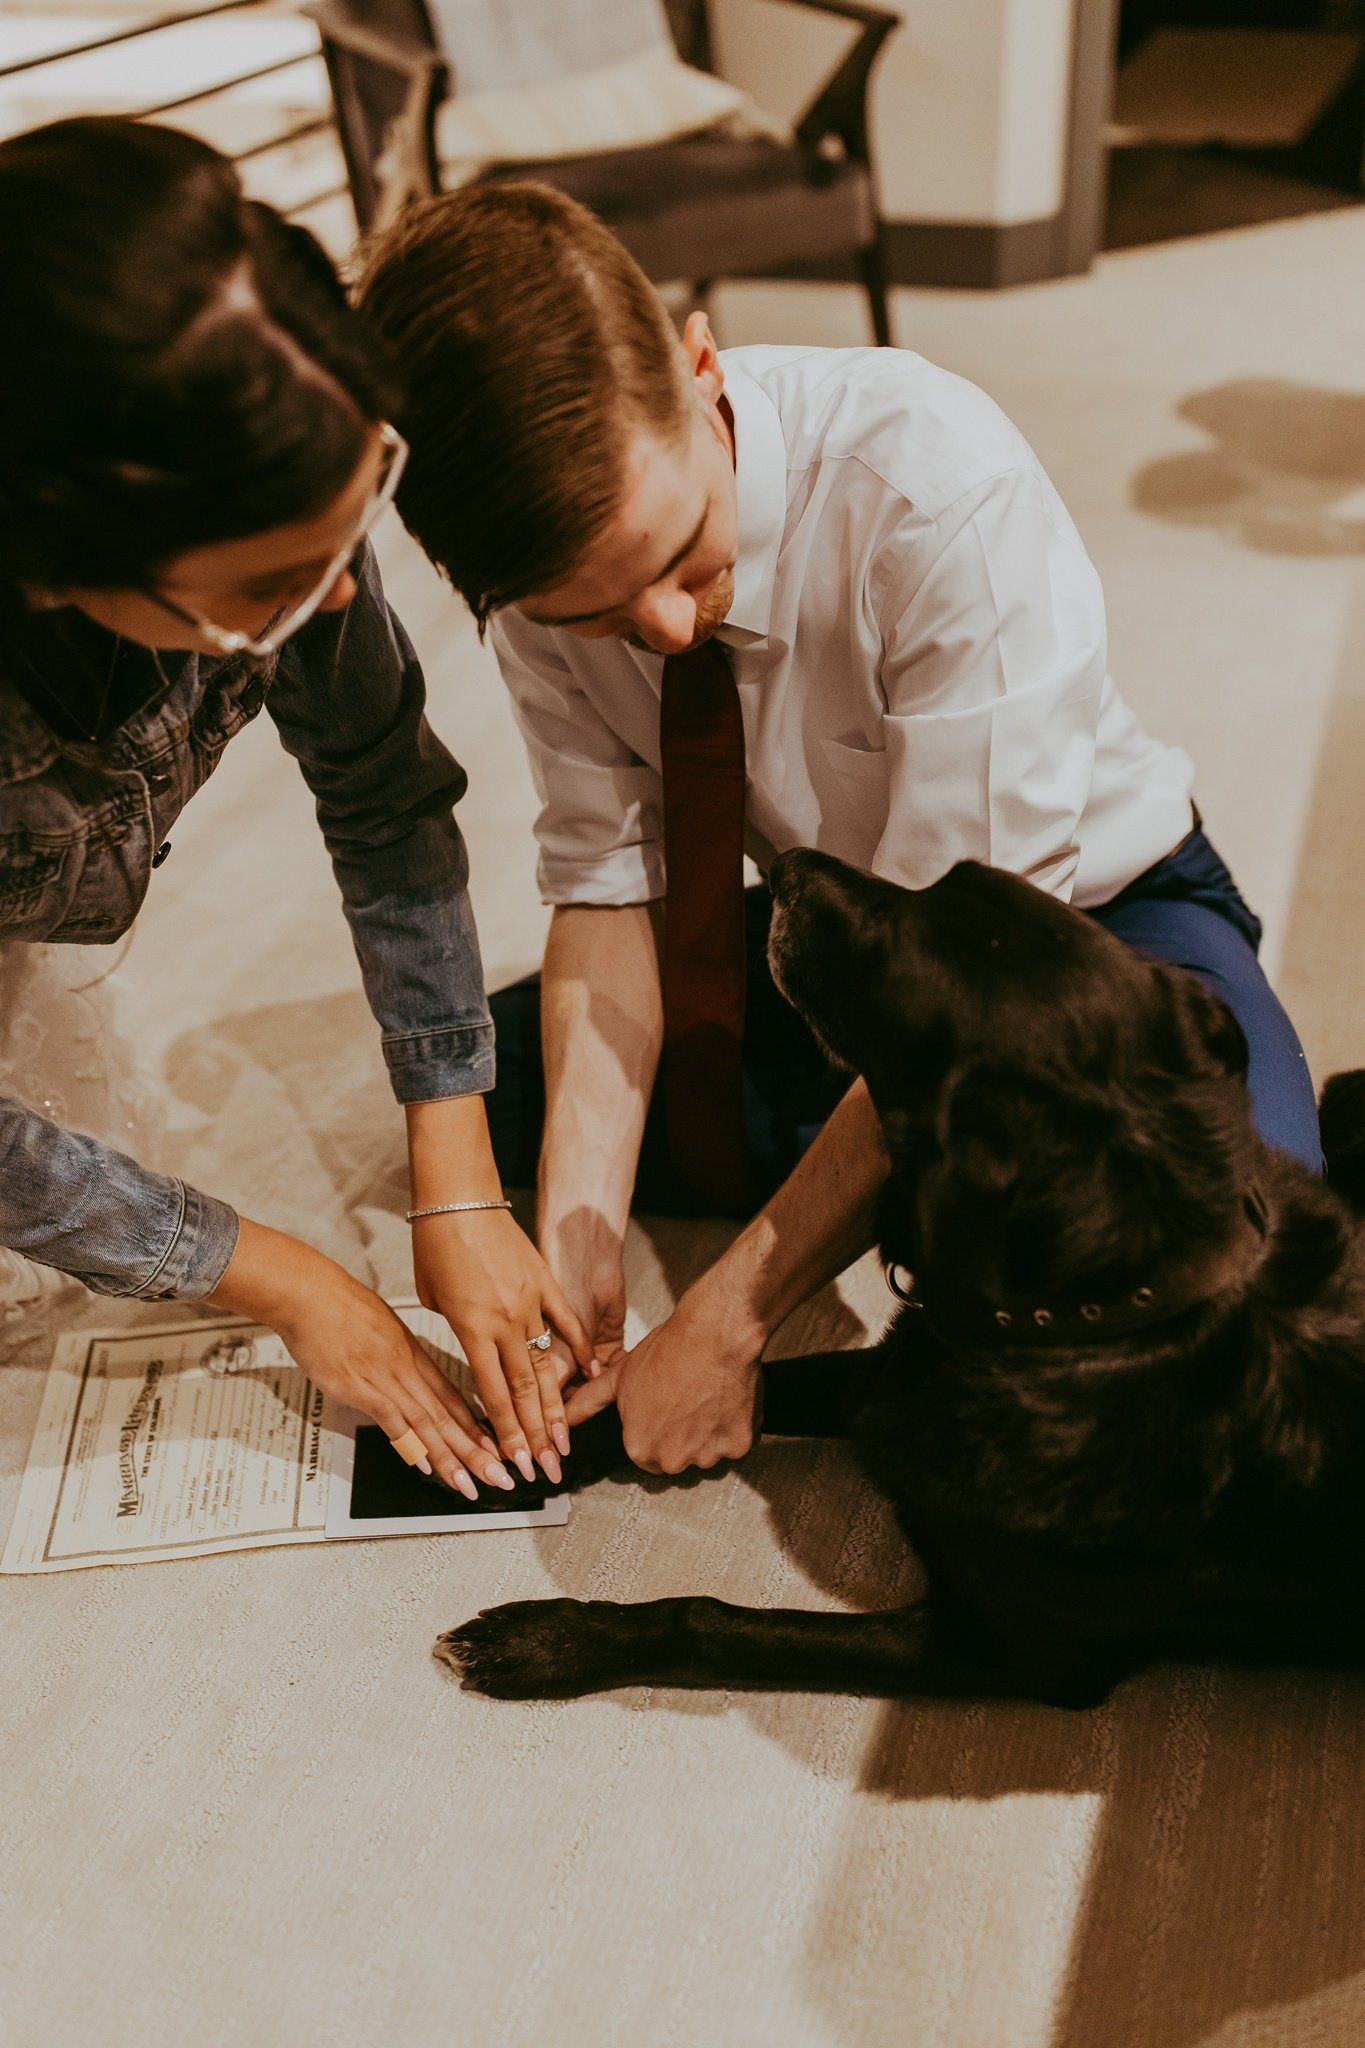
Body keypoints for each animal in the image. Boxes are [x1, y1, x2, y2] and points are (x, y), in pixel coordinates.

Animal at [435, 851, 1365, 1712]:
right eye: (952, 873)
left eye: (884, 947)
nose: (785, 865)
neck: (1084, 1321)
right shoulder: (879, 1384)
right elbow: (616, 1408)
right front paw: (492, 1459)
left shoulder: (999, 1652)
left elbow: (713, 1620)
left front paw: (547, 1640)